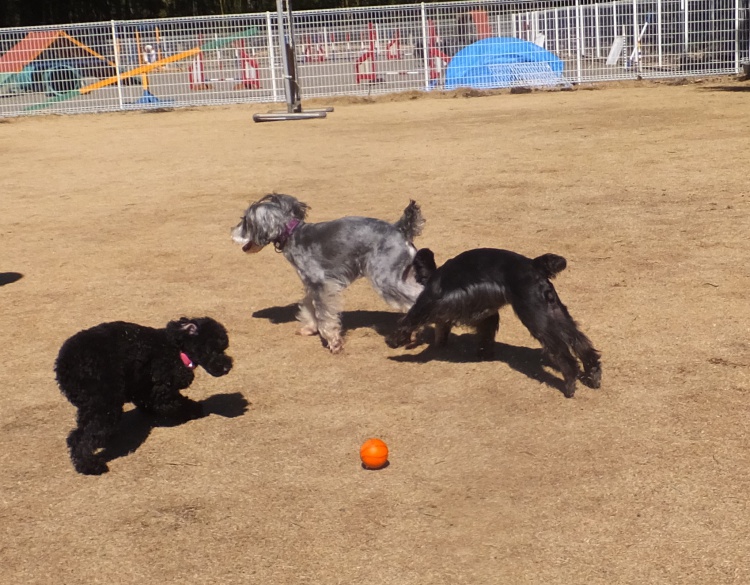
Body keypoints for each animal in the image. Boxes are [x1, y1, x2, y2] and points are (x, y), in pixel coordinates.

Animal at [55, 317, 233, 475]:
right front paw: (194, 409)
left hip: (91, 404)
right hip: (104, 405)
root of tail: (64, 366)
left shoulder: (140, 384)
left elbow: (146, 401)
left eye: (223, 348)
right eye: (212, 349)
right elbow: (173, 402)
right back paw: (90, 466)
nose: (227, 367)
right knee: (81, 438)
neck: (175, 348)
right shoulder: (160, 389)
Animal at [231, 193, 425, 353]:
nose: (231, 232)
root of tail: (400, 229)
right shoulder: (311, 284)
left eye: (245, 221)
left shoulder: (321, 284)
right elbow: (309, 305)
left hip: (386, 279)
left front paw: (333, 342)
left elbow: (324, 316)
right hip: (404, 275)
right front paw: (309, 328)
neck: (292, 234)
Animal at [386, 248, 601, 398]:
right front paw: (484, 353)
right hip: (554, 312)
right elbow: (485, 333)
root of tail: (534, 264)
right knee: (581, 344)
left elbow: (410, 319)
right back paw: (593, 375)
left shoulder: (429, 303)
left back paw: (570, 383)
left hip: (537, 318)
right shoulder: (486, 312)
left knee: (563, 353)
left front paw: (394, 341)